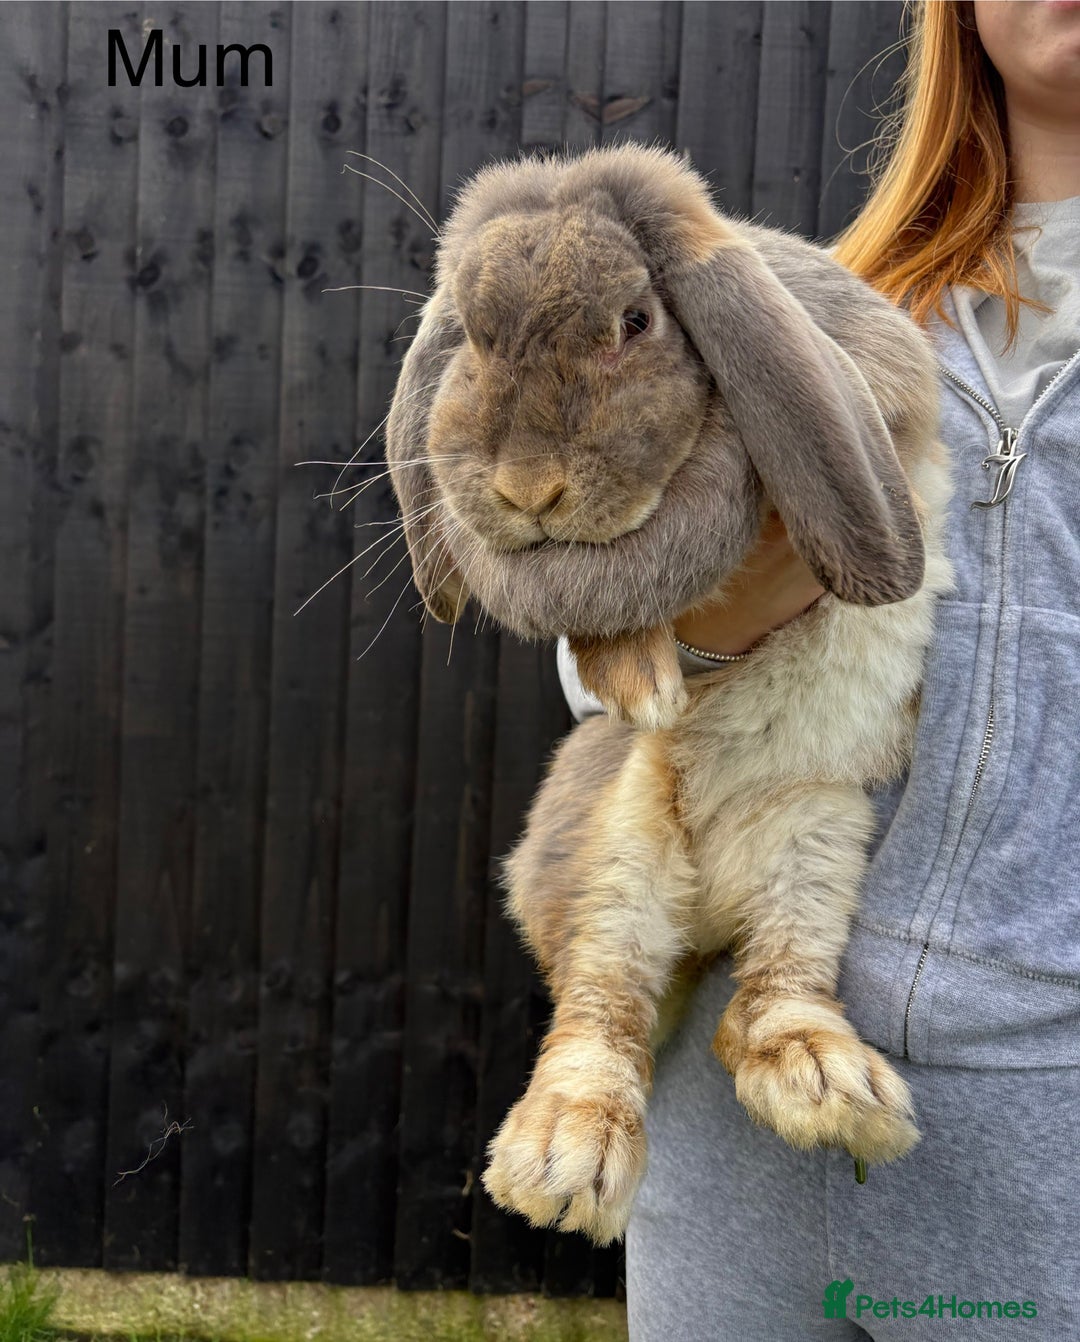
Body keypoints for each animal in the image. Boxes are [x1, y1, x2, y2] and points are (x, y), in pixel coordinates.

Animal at [384, 141, 954, 1245]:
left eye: (637, 322)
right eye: (470, 335)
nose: (527, 491)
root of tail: (710, 905)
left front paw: (641, 666)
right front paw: (639, 673)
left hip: (815, 837)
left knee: (766, 997)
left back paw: (830, 1085)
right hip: (617, 855)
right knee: (603, 1009)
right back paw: (565, 1156)